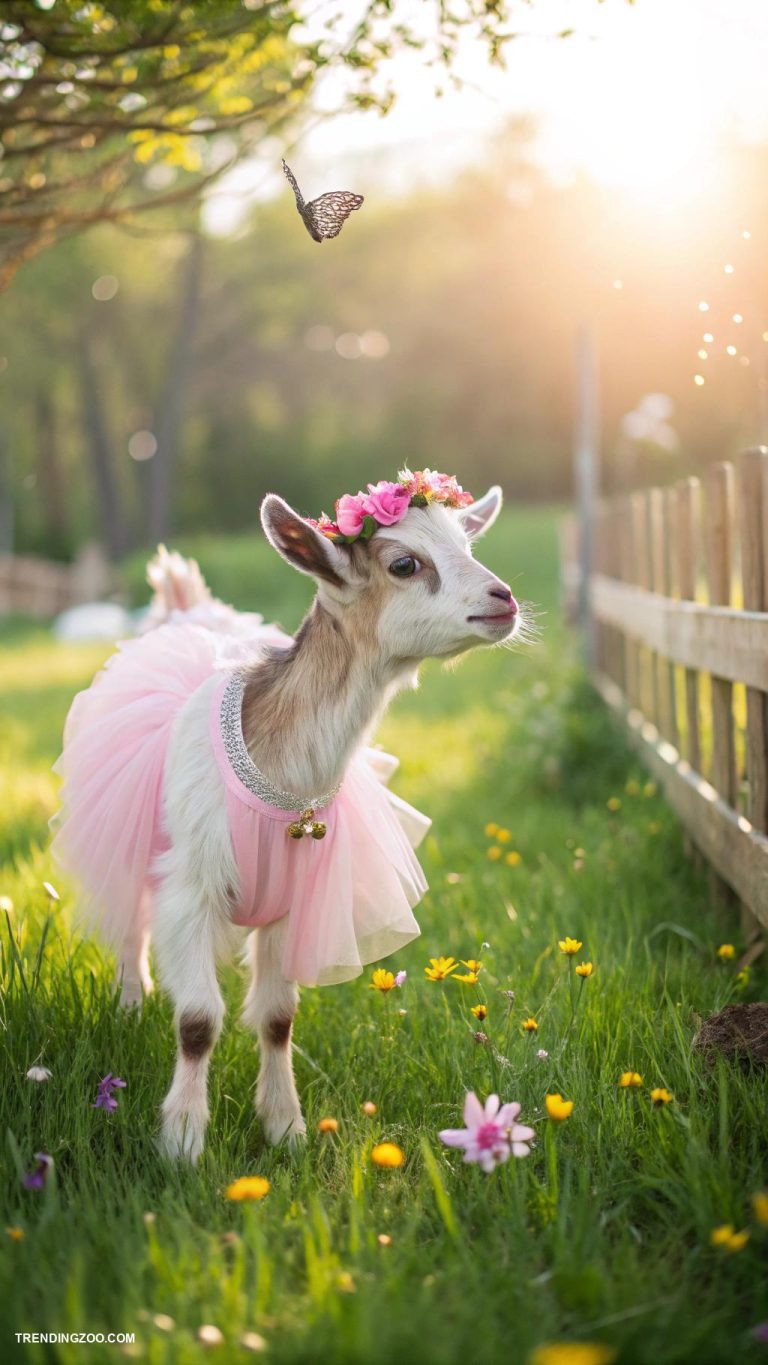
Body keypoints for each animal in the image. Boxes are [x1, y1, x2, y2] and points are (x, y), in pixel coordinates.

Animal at [53, 478, 520, 1161]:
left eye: (468, 543)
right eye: (404, 564)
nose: (503, 599)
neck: (279, 761)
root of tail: (184, 610)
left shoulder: (293, 901)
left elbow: (277, 1018)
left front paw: (286, 1129)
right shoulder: (191, 888)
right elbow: (198, 1020)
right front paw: (183, 1141)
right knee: (126, 913)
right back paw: (130, 1004)